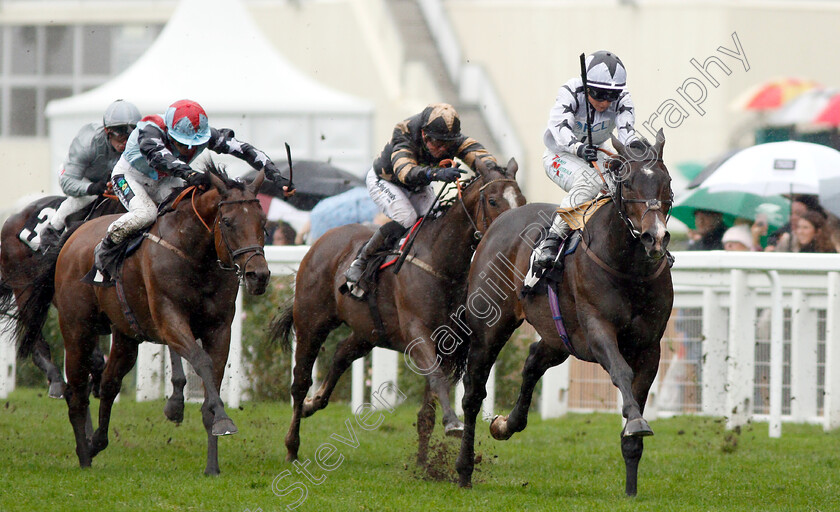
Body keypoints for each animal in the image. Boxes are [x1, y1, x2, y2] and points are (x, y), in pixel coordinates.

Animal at [9, 165, 270, 476]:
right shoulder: (170, 321)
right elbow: (201, 361)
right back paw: (83, 454)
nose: (258, 275)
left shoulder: (219, 330)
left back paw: (96, 442)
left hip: (126, 335)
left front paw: (213, 463)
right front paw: (217, 418)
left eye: (263, 221)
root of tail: (73, 236)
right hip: (77, 331)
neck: (194, 254)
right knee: (77, 392)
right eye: (228, 222)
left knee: (109, 382)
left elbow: (211, 384)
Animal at [270, 157, 524, 464]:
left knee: (341, 354)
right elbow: (437, 379)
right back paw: (292, 445)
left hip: (368, 330)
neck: (441, 262)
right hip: (312, 321)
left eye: (522, 200)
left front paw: (424, 463)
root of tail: (319, 241)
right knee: (300, 381)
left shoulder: (447, 342)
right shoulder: (417, 333)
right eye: (493, 200)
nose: (511, 234)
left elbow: (429, 404)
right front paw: (453, 424)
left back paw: (313, 403)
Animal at [452, 132, 676, 496]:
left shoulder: (650, 346)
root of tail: (497, 224)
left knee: (532, 360)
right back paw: (464, 469)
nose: (654, 237)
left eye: (666, 182)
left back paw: (506, 424)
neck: (628, 268)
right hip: (490, 326)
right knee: (473, 393)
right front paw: (636, 422)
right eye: (628, 183)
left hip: (559, 337)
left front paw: (631, 482)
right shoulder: (598, 330)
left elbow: (637, 396)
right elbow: (621, 372)